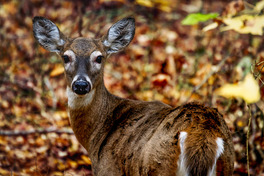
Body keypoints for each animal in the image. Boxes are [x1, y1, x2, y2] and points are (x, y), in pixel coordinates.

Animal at [33, 16, 235, 176]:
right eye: (65, 57)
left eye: (99, 58)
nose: (81, 84)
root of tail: (202, 136)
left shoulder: (108, 170)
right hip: (228, 166)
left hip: (159, 167)